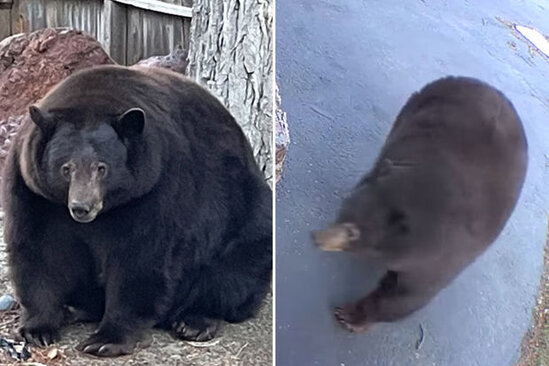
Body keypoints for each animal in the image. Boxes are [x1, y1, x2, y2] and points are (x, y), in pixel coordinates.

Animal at [1, 64, 272, 356]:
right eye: (66, 168)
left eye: (102, 167)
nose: (82, 207)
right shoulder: (34, 191)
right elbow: (40, 250)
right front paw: (38, 329)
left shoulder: (156, 186)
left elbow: (141, 257)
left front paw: (105, 339)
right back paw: (75, 308)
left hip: (243, 216)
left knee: (233, 271)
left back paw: (194, 321)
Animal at [312, 76, 528, 332]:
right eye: (343, 213)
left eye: (353, 234)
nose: (318, 238)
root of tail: (490, 88)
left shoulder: (444, 257)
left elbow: (407, 296)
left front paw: (350, 316)